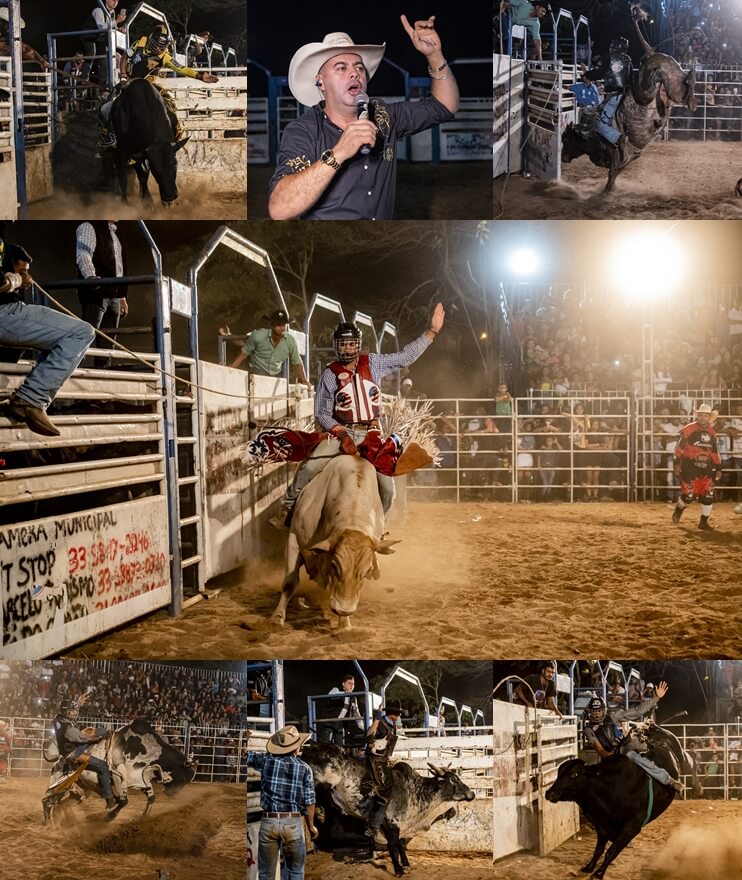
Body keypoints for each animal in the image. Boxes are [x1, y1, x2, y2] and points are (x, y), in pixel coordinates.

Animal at [112, 78, 185, 206]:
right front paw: (147, 201)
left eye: (174, 164)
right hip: (119, 153)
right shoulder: (135, 152)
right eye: (155, 168)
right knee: (122, 176)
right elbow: (142, 174)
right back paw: (124, 201)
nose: (170, 196)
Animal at [548, 724, 704, 876]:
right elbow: (599, 849)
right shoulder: (602, 826)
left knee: (692, 758)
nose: (550, 793)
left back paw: (695, 787)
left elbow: (611, 851)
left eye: (574, 774)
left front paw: (599, 872)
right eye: (559, 772)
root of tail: (654, 731)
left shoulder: (632, 827)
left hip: (682, 756)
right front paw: (589, 867)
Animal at [564, 52, 696, 192]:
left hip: (644, 94)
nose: (563, 158)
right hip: (665, 98)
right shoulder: (631, 156)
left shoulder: (615, 152)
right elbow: (617, 171)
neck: (592, 136)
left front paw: (607, 190)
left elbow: (612, 172)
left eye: (565, 140)